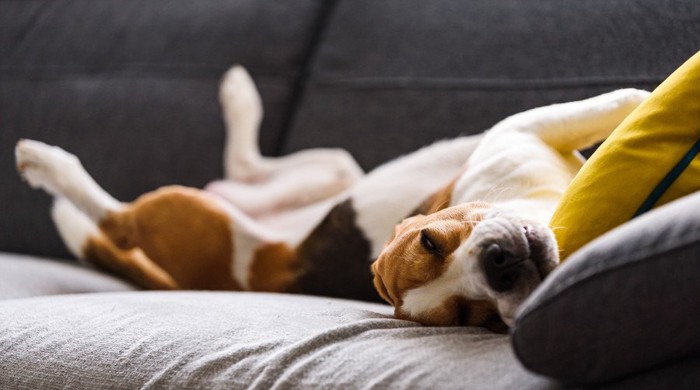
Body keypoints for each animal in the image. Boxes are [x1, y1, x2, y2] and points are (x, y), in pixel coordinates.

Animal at [15, 65, 652, 330]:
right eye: (472, 318)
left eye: (430, 239)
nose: (498, 265)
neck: (549, 204)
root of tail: (274, 266)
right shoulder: (526, 127)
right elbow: (628, 98)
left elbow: (629, 99)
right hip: (192, 216)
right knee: (119, 223)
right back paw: (46, 163)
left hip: (331, 170)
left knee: (242, 165)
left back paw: (239, 96)